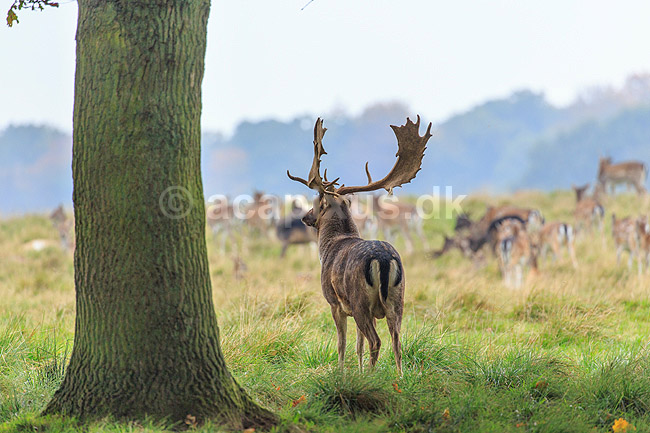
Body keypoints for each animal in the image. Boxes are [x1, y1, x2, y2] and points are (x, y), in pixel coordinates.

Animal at [287, 116, 432, 375]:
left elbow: (342, 344)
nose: (305, 217)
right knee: (397, 340)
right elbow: (358, 345)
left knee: (377, 341)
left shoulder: (335, 303)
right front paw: (360, 372)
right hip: (398, 299)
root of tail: (383, 260)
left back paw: (374, 377)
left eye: (316, 201)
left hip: (359, 300)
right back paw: (399, 377)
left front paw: (342, 373)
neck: (329, 247)